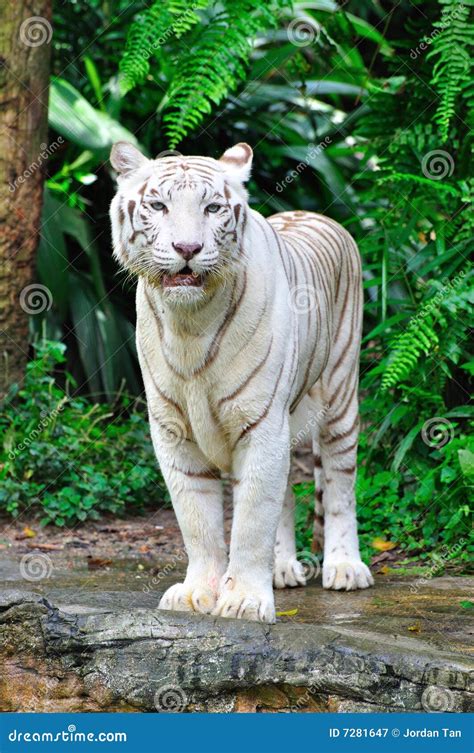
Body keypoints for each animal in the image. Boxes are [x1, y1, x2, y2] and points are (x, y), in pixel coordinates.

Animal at [109, 141, 373, 624]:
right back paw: (283, 568)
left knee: (340, 487)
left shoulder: (261, 422)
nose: (187, 247)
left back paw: (345, 568)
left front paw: (246, 600)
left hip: (341, 398)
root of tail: (316, 214)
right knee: (288, 493)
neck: (189, 322)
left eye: (212, 208)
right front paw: (198, 593)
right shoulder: (174, 432)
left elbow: (252, 520)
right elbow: (198, 522)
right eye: (158, 206)